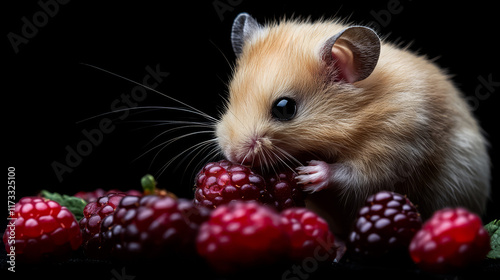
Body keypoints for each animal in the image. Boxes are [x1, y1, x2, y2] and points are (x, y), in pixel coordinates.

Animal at [214, 12, 488, 236]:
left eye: (285, 108)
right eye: (231, 96)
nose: (233, 155)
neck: (361, 113)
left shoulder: (395, 149)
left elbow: (356, 175)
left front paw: (310, 174)